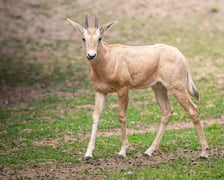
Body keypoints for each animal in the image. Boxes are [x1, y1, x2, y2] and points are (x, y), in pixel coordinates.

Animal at [66, 15, 208, 160]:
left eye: (99, 38)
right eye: (83, 38)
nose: (91, 55)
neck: (109, 58)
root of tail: (181, 56)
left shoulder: (123, 89)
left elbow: (122, 116)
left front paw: (122, 151)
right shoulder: (100, 91)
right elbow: (96, 116)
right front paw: (88, 154)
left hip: (177, 87)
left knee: (193, 110)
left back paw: (204, 152)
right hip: (159, 88)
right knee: (167, 111)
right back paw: (149, 151)